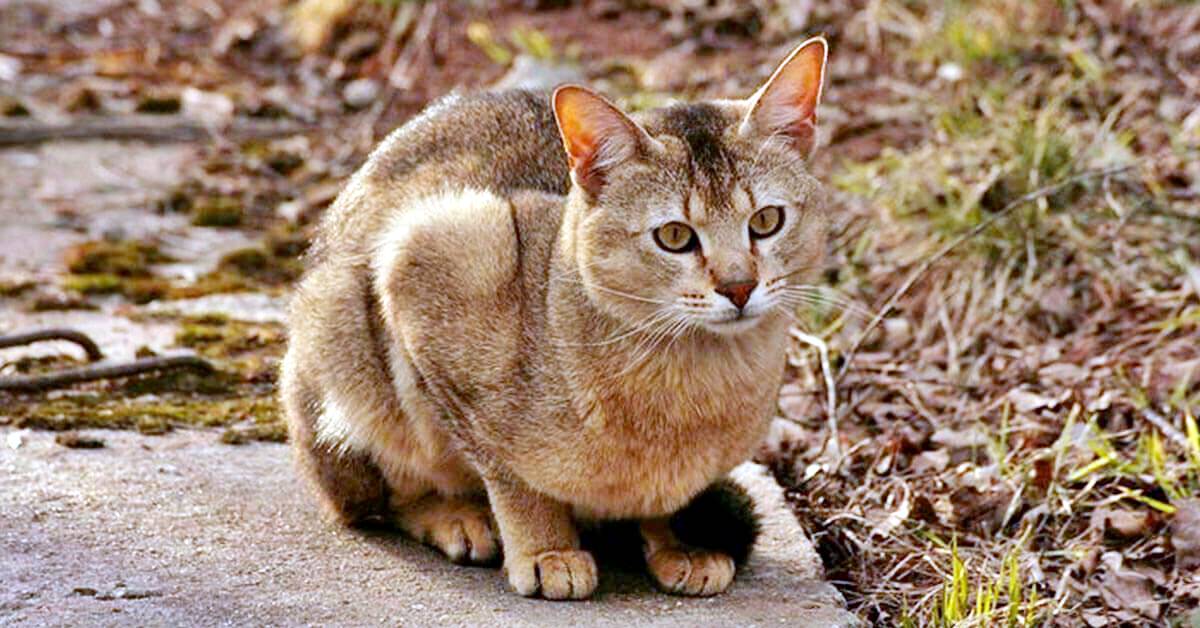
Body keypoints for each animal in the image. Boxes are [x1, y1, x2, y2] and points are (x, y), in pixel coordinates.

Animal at [280, 35, 830, 600]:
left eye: (766, 221)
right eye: (674, 236)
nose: (739, 287)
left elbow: (662, 502)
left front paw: (678, 544)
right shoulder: (431, 256)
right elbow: (508, 471)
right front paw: (546, 549)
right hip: (345, 355)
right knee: (376, 499)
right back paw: (457, 517)